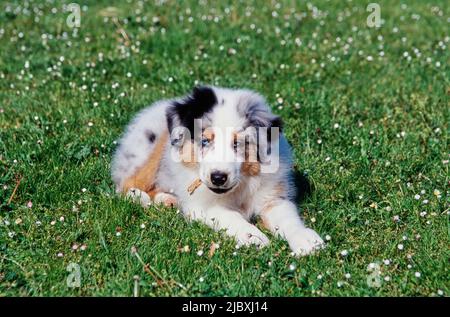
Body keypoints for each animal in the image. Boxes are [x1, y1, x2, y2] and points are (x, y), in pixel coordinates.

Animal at [111, 86, 324, 254]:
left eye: (237, 143)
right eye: (205, 141)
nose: (218, 178)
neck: (241, 184)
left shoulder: (272, 195)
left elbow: (287, 217)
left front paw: (307, 240)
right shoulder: (202, 204)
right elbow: (228, 215)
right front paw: (253, 237)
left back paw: (168, 200)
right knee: (126, 182)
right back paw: (139, 196)